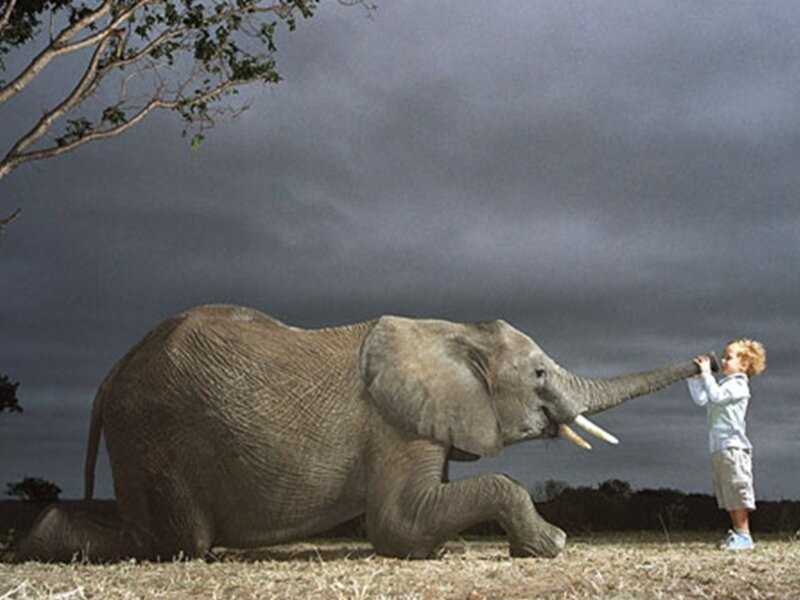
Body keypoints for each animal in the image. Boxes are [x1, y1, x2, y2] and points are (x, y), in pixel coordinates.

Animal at [8, 304, 714, 562]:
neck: (452, 332)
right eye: (539, 373)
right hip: (155, 436)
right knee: (175, 543)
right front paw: (554, 544)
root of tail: (109, 375)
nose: (712, 356)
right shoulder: (393, 422)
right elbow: (397, 526)